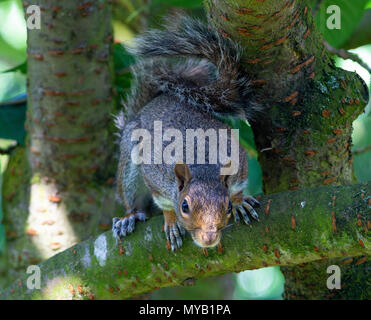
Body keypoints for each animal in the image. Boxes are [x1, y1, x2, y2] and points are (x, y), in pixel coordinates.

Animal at [112, 15, 260, 250]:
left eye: (227, 207)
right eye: (184, 206)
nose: (208, 238)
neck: (204, 165)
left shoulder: (239, 160)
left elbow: (237, 187)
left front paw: (240, 203)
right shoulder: (156, 175)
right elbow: (164, 203)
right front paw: (172, 223)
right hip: (128, 164)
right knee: (129, 197)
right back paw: (130, 217)